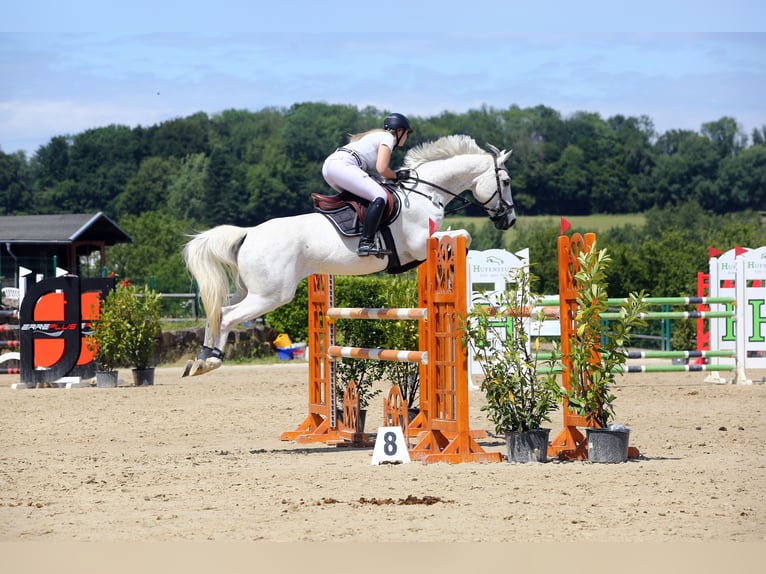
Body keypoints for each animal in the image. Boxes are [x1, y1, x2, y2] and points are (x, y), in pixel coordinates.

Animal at [182, 134, 515, 376]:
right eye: (507, 182)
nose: (509, 221)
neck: (426, 192)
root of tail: (249, 232)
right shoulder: (422, 242)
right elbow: (464, 236)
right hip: (270, 295)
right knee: (227, 315)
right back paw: (211, 361)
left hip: (249, 290)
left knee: (217, 310)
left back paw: (201, 359)